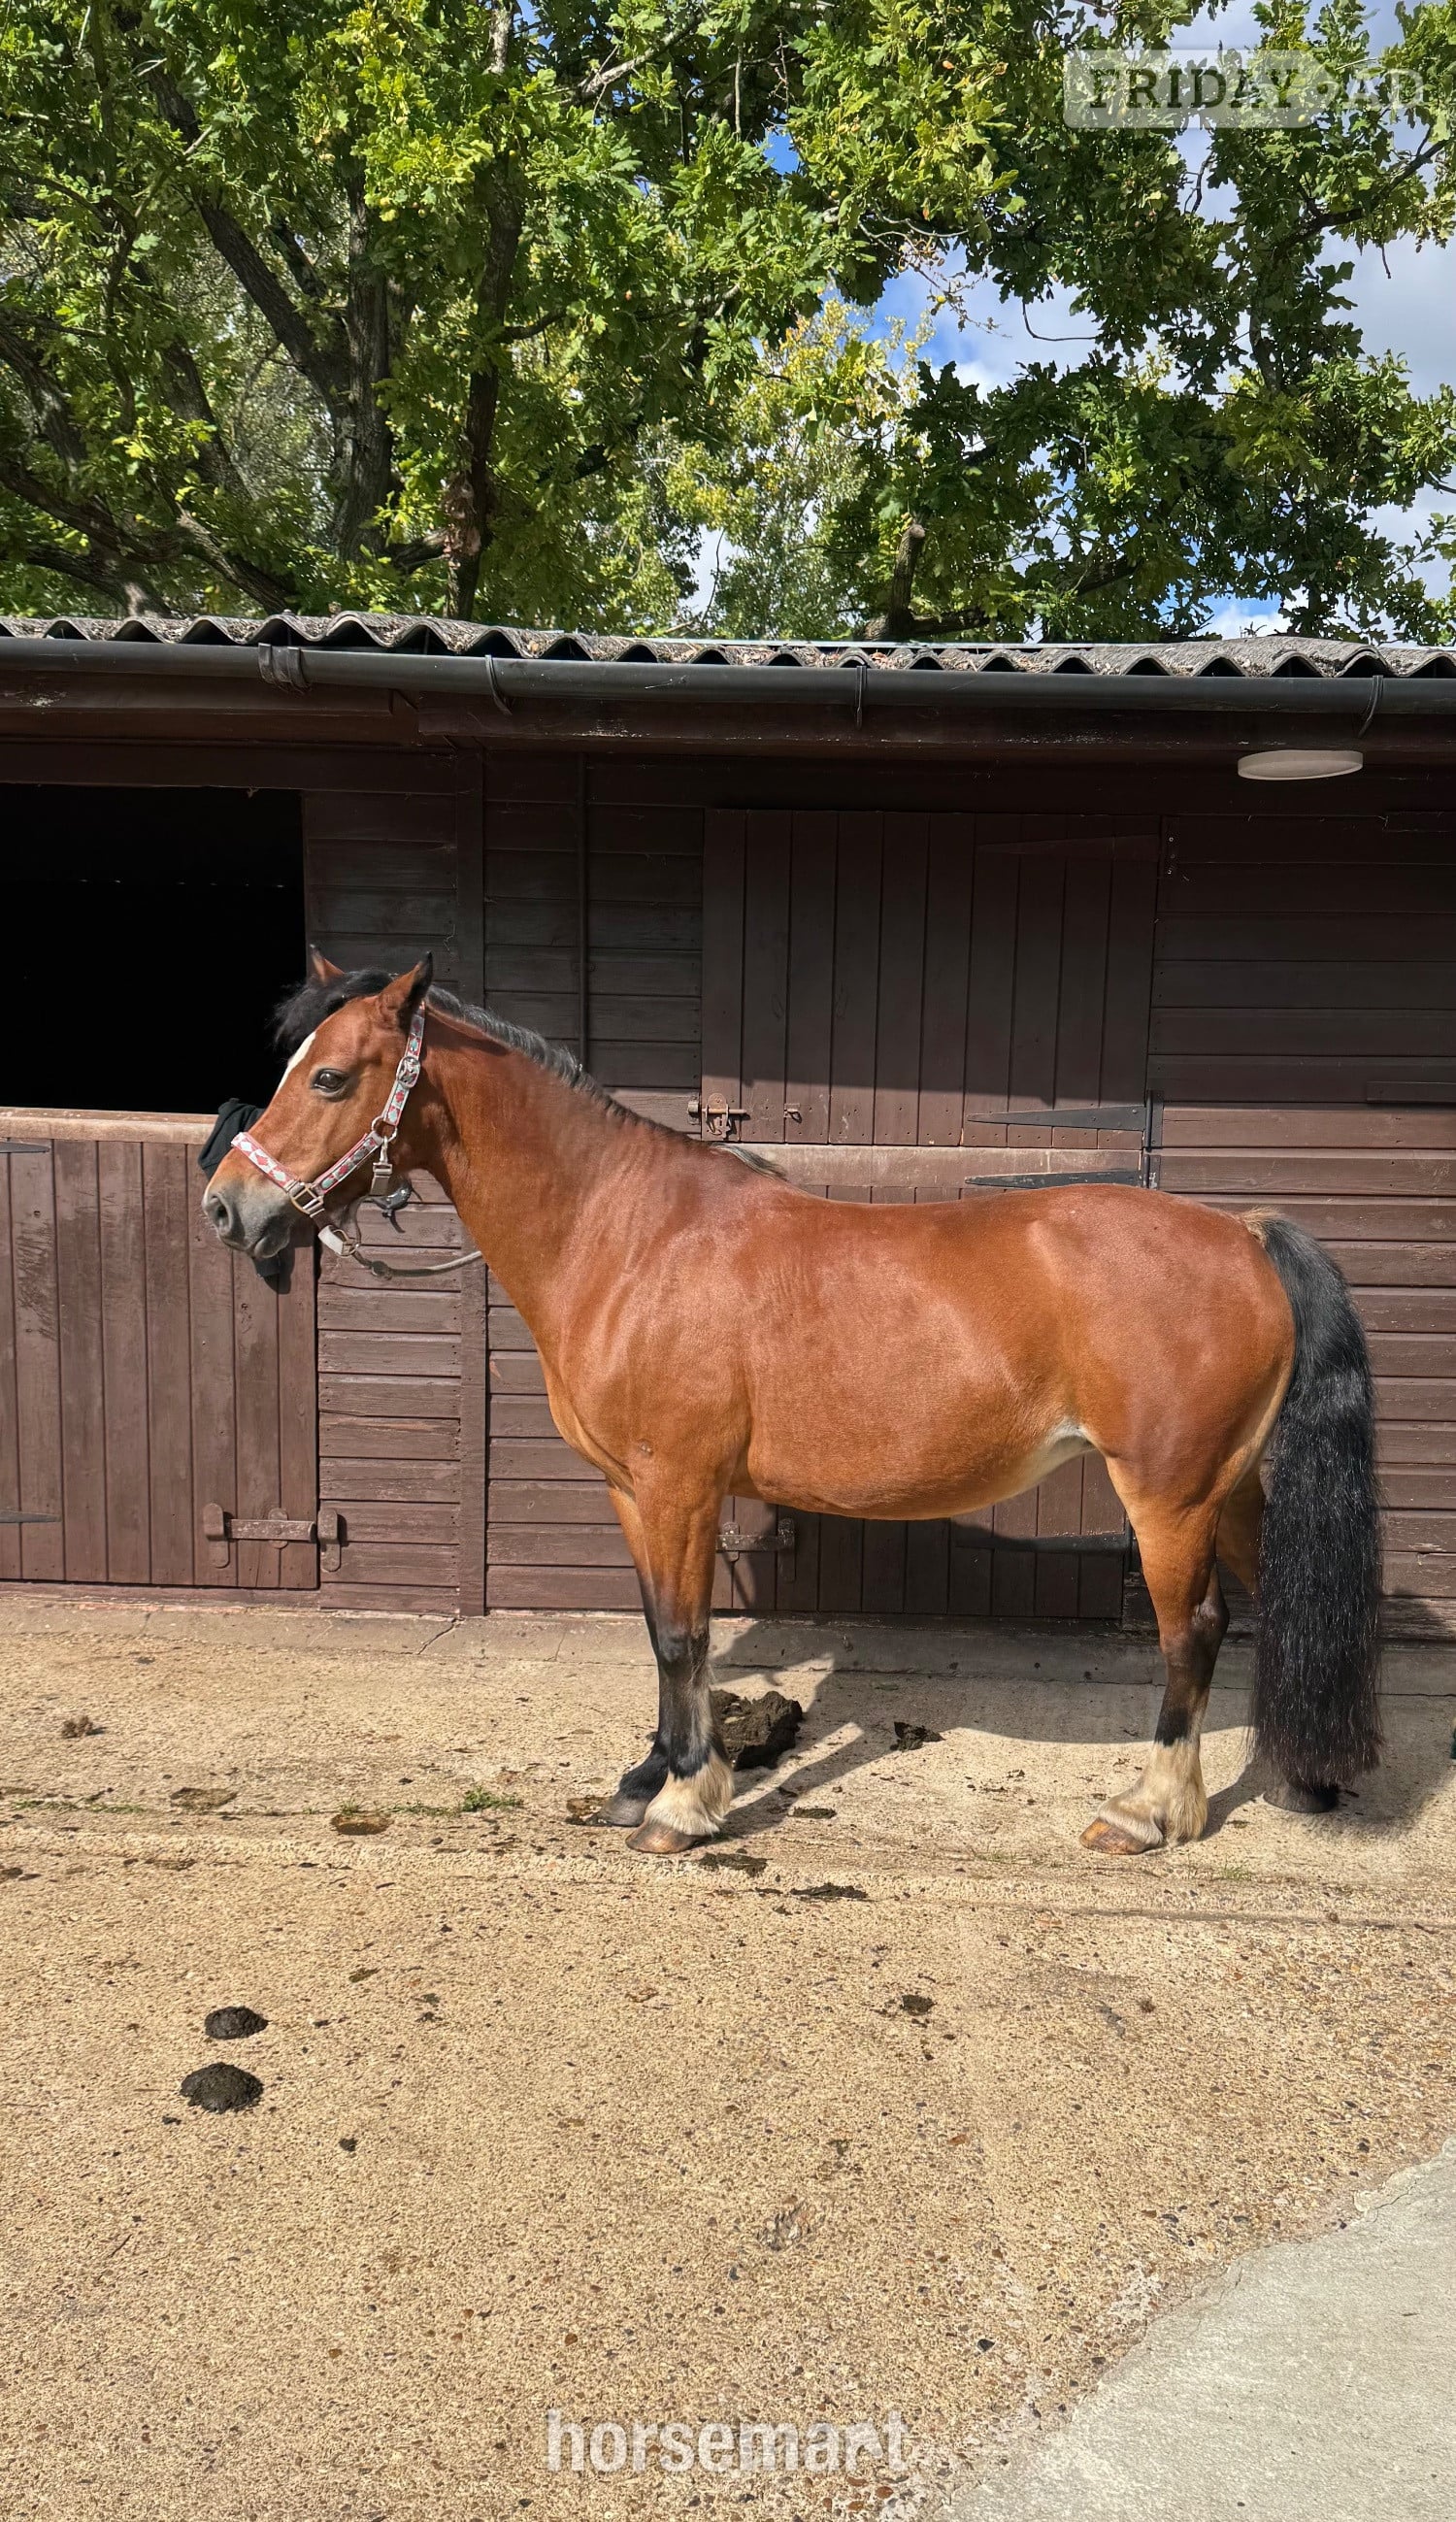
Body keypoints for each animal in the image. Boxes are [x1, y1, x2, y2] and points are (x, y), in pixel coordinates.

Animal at [203, 952, 1383, 1859]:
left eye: (331, 1078)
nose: (227, 1207)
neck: (628, 1233)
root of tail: (1243, 1235)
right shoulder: (637, 1492)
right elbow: (662, 1634)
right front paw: (645, 1780)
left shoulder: (680, 1485)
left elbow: (686, 1637)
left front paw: (684, 1807)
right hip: (1231, 1490)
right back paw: (1301, 1777)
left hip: (1169, 1498)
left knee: (1193, 1632)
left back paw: (1150, 1814)